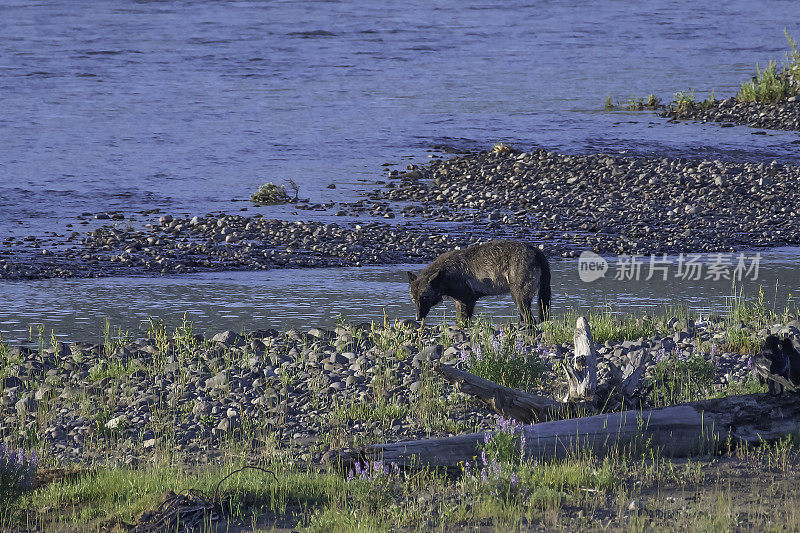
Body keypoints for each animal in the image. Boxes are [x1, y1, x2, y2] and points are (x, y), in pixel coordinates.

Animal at [406, 239, 552, 322]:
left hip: (519, 298)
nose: (417, 318)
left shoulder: (467, 301)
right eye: (414, 299)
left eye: (424, 297)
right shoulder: (459, 302)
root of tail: (537, 252)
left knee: (531, 319)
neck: (445, 274)